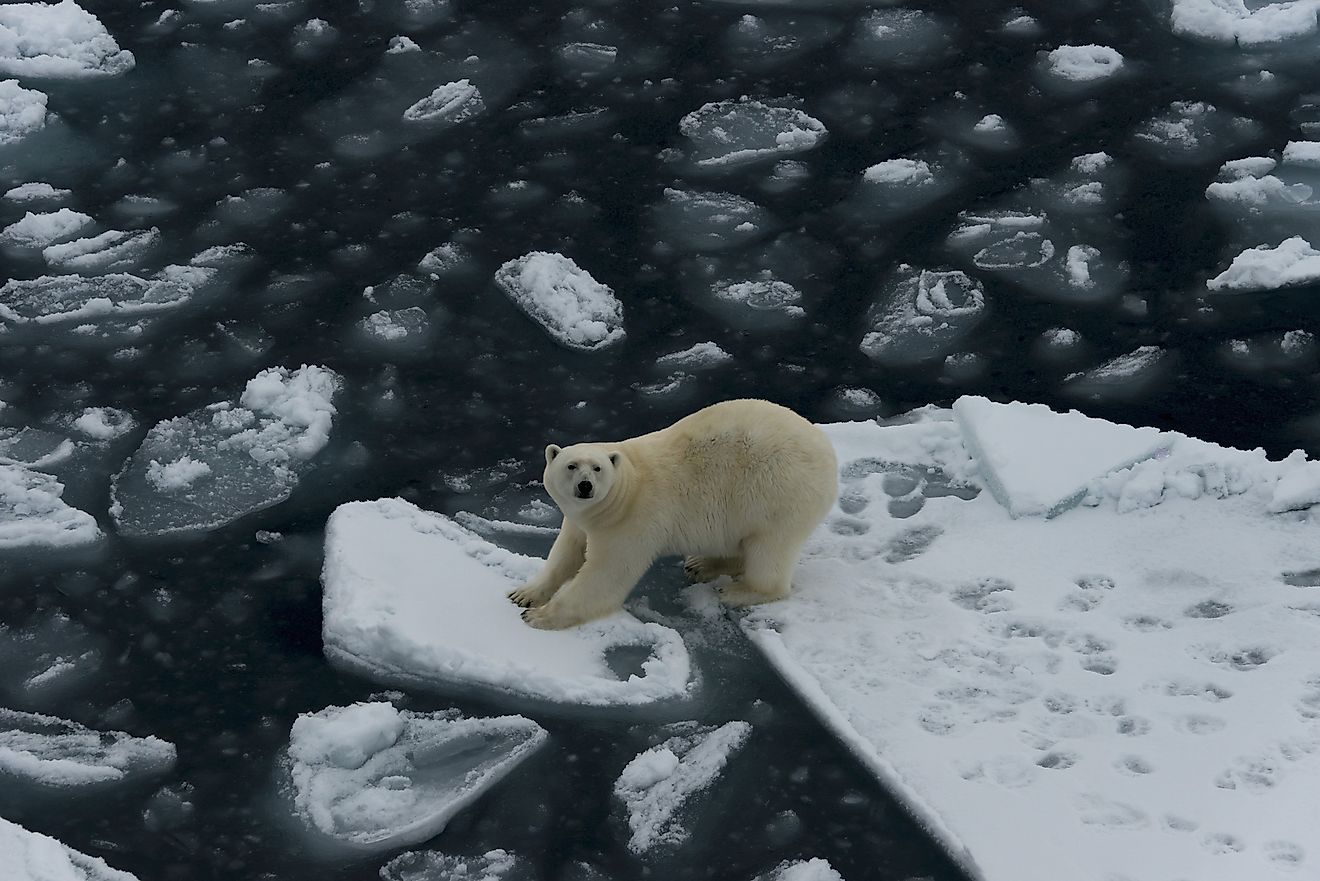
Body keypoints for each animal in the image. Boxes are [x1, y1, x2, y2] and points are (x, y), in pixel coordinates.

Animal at [504, 398, 834, 634]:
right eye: (571, 466)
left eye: (597, 468)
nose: (585, 486)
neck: (626, 488)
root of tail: (828, 452)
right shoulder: (580, 519)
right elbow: (565, 553)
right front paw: (524, 594)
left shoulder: (632, 521)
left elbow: (605, 574)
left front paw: (537, 615)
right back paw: (701, 564)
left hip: (777, 493)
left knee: (769, 550)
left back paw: (735, 590)